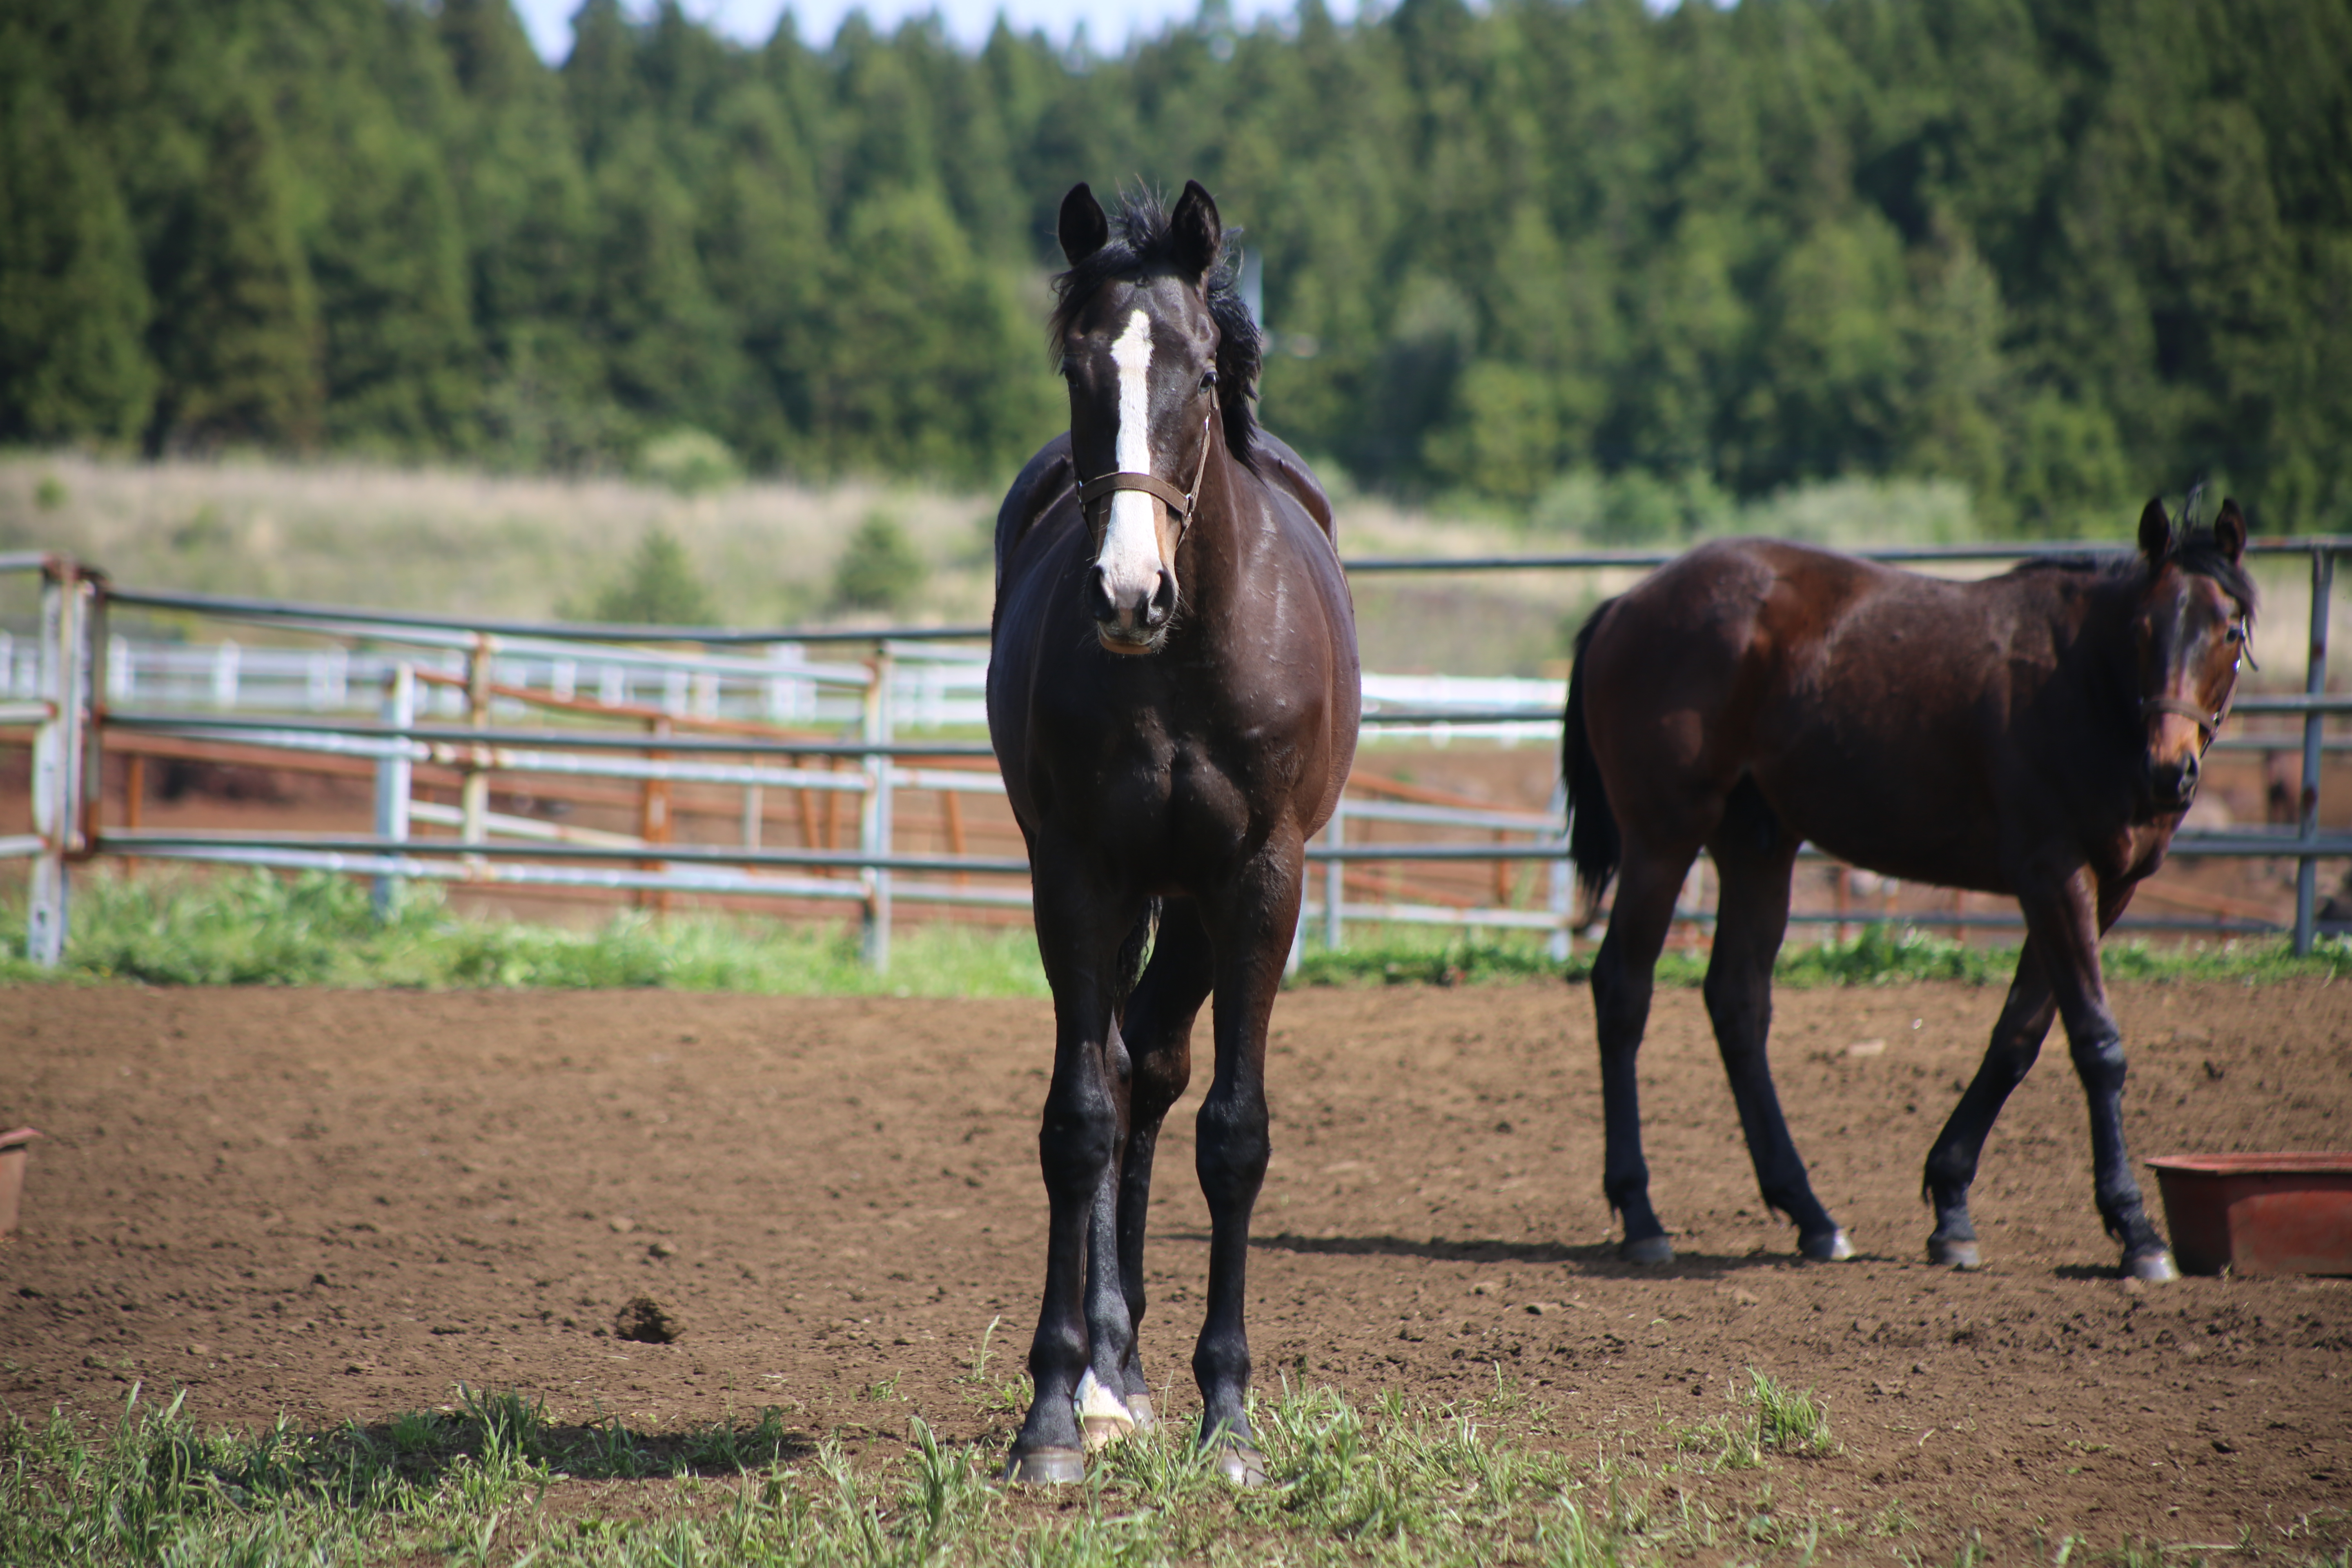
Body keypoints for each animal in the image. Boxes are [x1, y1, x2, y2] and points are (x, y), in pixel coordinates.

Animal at [988, 184, 1364, 1486]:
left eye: (1199, 373)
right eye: (1077, 366)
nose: (1126, 594)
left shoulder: (1258, 880)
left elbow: (1232, 1136)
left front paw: (1231, 1418)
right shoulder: (1076, 874)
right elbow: (1076, 1122)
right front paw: (1054, 1413)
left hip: (1201, 907)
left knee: (1154, 1063)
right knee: (1117, 1072)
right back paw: (1109, 1376)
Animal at [1571, 505, 2248, 1288]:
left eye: (2229, 632)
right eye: (2143, 628)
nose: (2171, 770)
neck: (2083, 683)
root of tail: (1628, 604)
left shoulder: (2108, 889)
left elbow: (2018, 1039)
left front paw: (1951, 1205)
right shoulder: (2053, 874)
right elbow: (2096, 1044)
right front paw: (2135, 1229)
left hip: (1757, 847)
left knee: (1737, 1002)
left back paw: (1811, 1214)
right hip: (1662, 839)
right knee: (1624, 992)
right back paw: (1642, 1215)